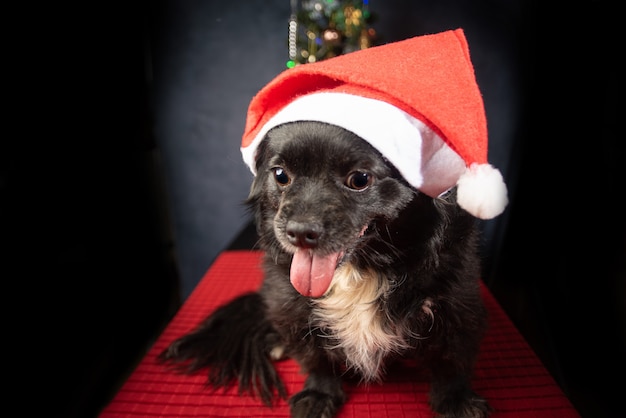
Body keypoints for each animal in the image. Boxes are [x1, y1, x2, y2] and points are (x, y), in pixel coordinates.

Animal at [158, 120, 490, 414]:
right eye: (281, 175)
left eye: (360, 180)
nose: (299, 232)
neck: (361, 270)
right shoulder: (292, 306)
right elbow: (315, 357)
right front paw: (319, 394)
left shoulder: (457, 304)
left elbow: (451, 358)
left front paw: (456, 399)